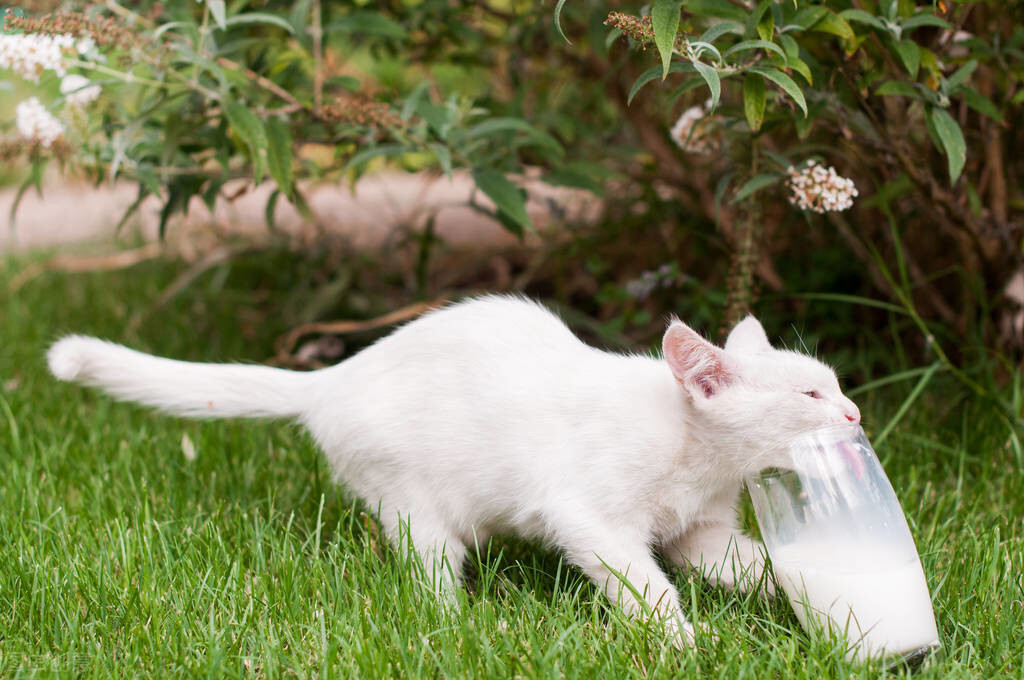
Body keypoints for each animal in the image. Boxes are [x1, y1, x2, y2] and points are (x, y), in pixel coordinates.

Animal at [49, 294, 864, 647]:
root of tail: (332, 378)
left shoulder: (703, 532)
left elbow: (746, 565)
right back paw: (461, 625)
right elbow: (643, 584)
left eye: (833, 384)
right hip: (415, 505)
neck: (700, 460)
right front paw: (684, 642)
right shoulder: (587, 517)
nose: (857, 413)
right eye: (810, 395)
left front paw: (806, 592)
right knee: (430, 577)